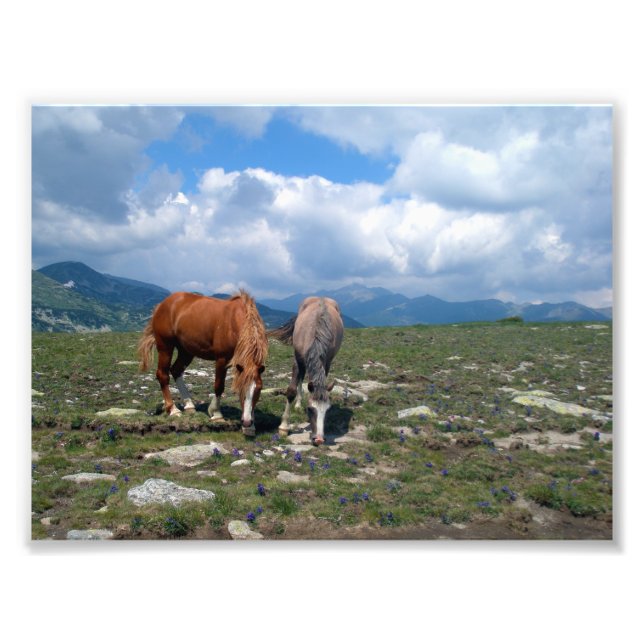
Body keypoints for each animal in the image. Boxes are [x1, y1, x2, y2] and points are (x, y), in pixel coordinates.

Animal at [137, 290, 268, 436]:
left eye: (259, 389)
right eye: (240, 388)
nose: (246, 422)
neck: (233, 321)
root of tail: (162, 305)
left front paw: (250, 427)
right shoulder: (222, 359)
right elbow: (219, 386)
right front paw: (216, 414)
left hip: (186, 351)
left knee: (176, 370)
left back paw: (189, 405)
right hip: (165, 346)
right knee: (163, 375)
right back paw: (173, 409)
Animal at [269, 296, 344, 445]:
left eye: (327, 410)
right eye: (310, 409)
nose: (319, 439)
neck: (316, 334)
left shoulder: (327, 362)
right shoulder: (298, 359)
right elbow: (291, 390)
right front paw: (284, 426)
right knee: (301, 377)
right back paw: (297, 404)